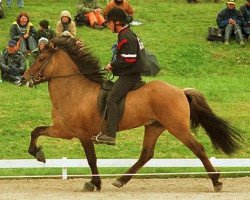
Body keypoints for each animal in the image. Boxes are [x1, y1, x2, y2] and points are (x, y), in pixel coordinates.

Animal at [22, 36, 242, 192]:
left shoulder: (82, 134)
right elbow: (36, 131)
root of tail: (180, 91)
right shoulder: (64, 130)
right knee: (146, 154)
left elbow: (91, 159)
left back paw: (216, 181)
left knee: (198, 148)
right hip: (154, 127)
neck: (74, 90)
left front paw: (94, 184)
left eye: (40, 59)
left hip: (177, 127)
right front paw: (38, 153)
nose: (24, 78)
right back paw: (120, 180)